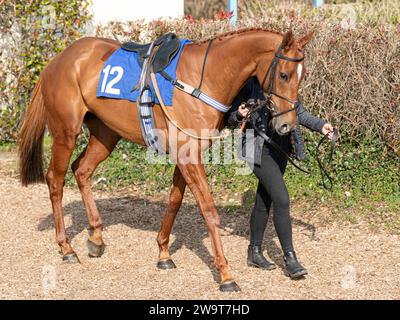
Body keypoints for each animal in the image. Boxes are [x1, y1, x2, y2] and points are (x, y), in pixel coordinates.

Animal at [18, 28, 312, 292]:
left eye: (301, 76)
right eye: (284, 74)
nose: (286, 124)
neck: (203, 78)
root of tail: (57, 60)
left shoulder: (186, 155)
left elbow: (174, 202)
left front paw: (163, 253)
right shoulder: (189, 156)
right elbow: (209, 211)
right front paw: (226, 274)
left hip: (106, 133)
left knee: (82, 170)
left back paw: (96, 237)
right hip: (65, 133)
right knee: (55, 181)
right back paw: (66, 247)